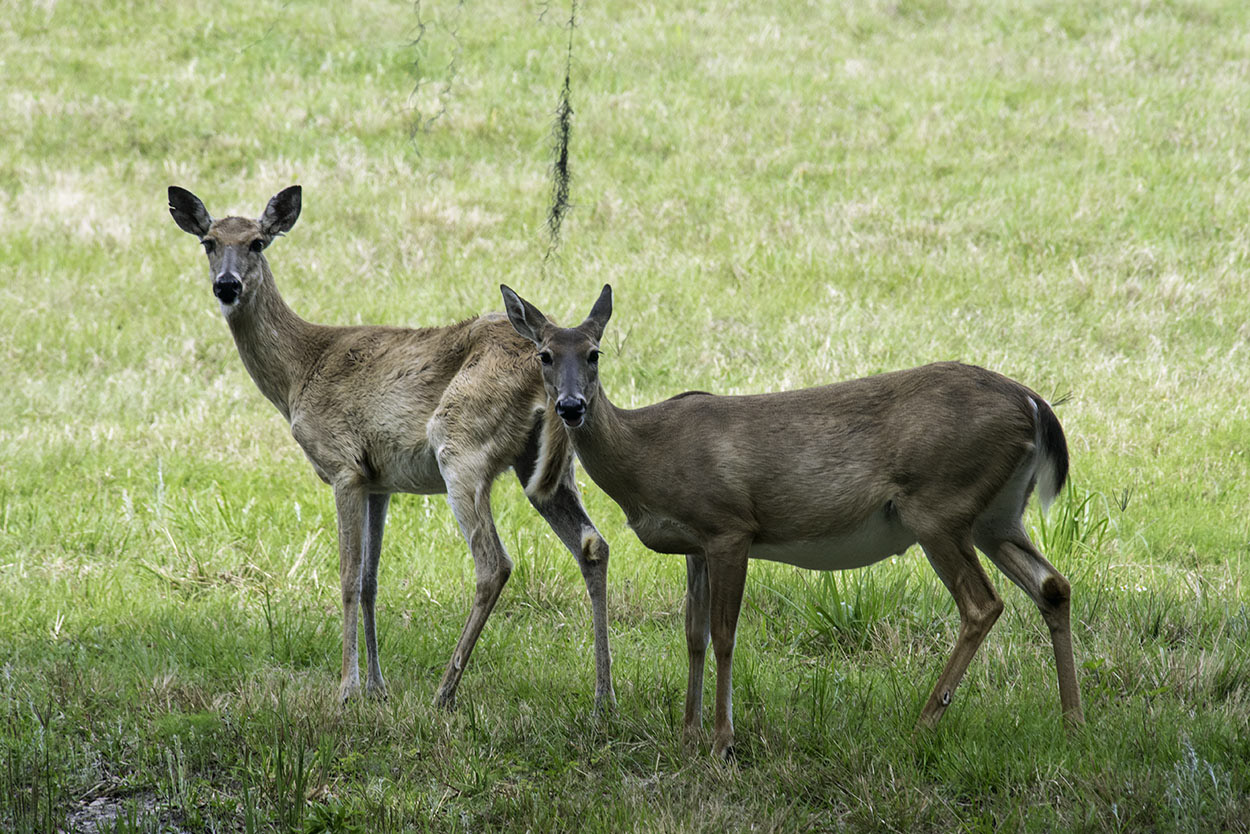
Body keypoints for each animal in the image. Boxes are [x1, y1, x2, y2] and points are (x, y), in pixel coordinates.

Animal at [166, 186, 615, 710]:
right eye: (209, 243)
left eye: (258, 242)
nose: (227, 285)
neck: (299, 372)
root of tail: (549, 374)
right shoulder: (379, 481)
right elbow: (369, 582)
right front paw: (376, 687)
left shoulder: (343, 466)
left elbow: (346, 577)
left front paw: (345, 688)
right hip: (545, 466)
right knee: (592, 544)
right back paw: (603, 694)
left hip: (460, 446)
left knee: (494, 564)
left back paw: (445, 691)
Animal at [502, 283, 1080, 760]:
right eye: (545, 355)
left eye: (594, 354)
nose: (571, 406)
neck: (646, 454)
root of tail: (1034, 403)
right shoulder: (694, 544)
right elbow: (693, 636)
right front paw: (688, 736)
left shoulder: (729, 525)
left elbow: (724, 634)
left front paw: (722, 743)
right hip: (996, 515)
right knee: (1052, 584)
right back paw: (1072, 721)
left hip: (938, 505)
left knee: (983, 604)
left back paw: (922, 726)